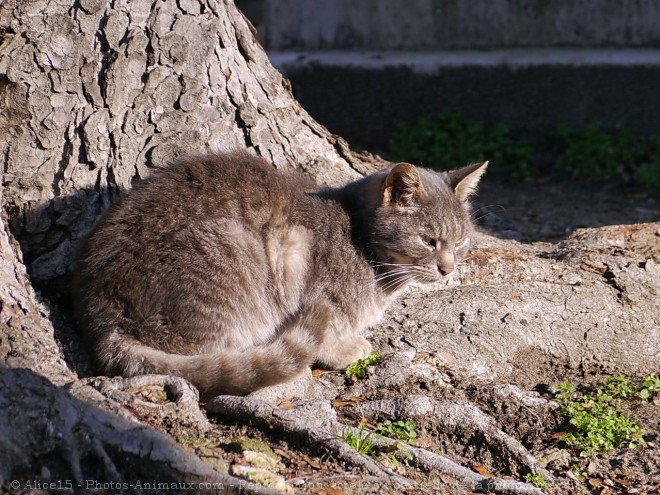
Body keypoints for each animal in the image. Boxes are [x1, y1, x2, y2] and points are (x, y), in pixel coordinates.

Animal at [72, 152, 488, 400]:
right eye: (429, 240)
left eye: (461, 242)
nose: (448, 268)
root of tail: (101, 317)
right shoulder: (312, 277)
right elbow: (329, 330)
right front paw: (345, 348)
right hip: (235, 252)